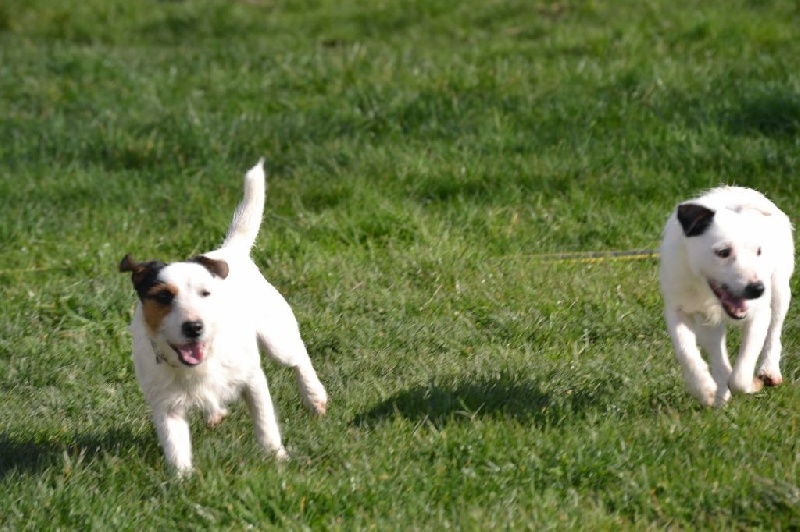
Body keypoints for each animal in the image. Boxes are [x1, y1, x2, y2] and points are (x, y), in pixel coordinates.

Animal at [119, 159, 327, 474]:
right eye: (164, 297)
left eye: (206, 293)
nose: (194, 326)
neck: (200, 364)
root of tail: (228, 251)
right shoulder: (166, 404)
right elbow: (175, 445)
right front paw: (183, 479)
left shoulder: (252, 379)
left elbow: (265, 422)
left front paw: (276, 457)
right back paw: (214, 416)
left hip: (277, 335)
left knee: (298, 358)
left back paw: (314, 396)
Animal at [659, 186, 794, 407]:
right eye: (723, 252)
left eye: (759, 251)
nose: (757, 289)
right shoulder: (677, 309)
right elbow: (686, 352)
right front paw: (705, 389)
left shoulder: (759, 313)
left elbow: (740, 376)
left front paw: (752, 384)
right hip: (708, 324)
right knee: (716, 350)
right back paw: (720, 394)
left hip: (780, 288)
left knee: (774, 330)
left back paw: (769, 370)